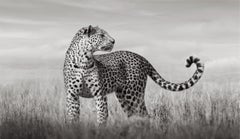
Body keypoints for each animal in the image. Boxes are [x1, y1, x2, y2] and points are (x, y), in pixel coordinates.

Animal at [63, 25, 204, 125]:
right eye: (102, 35)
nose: (113, 41)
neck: (84, 59)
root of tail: (141, 57)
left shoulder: (99, 94)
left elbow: (102, 115)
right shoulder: (72, 95)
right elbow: (72, 117)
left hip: (134, 94)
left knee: (145, 115)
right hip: (123, 96)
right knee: (135, 116)